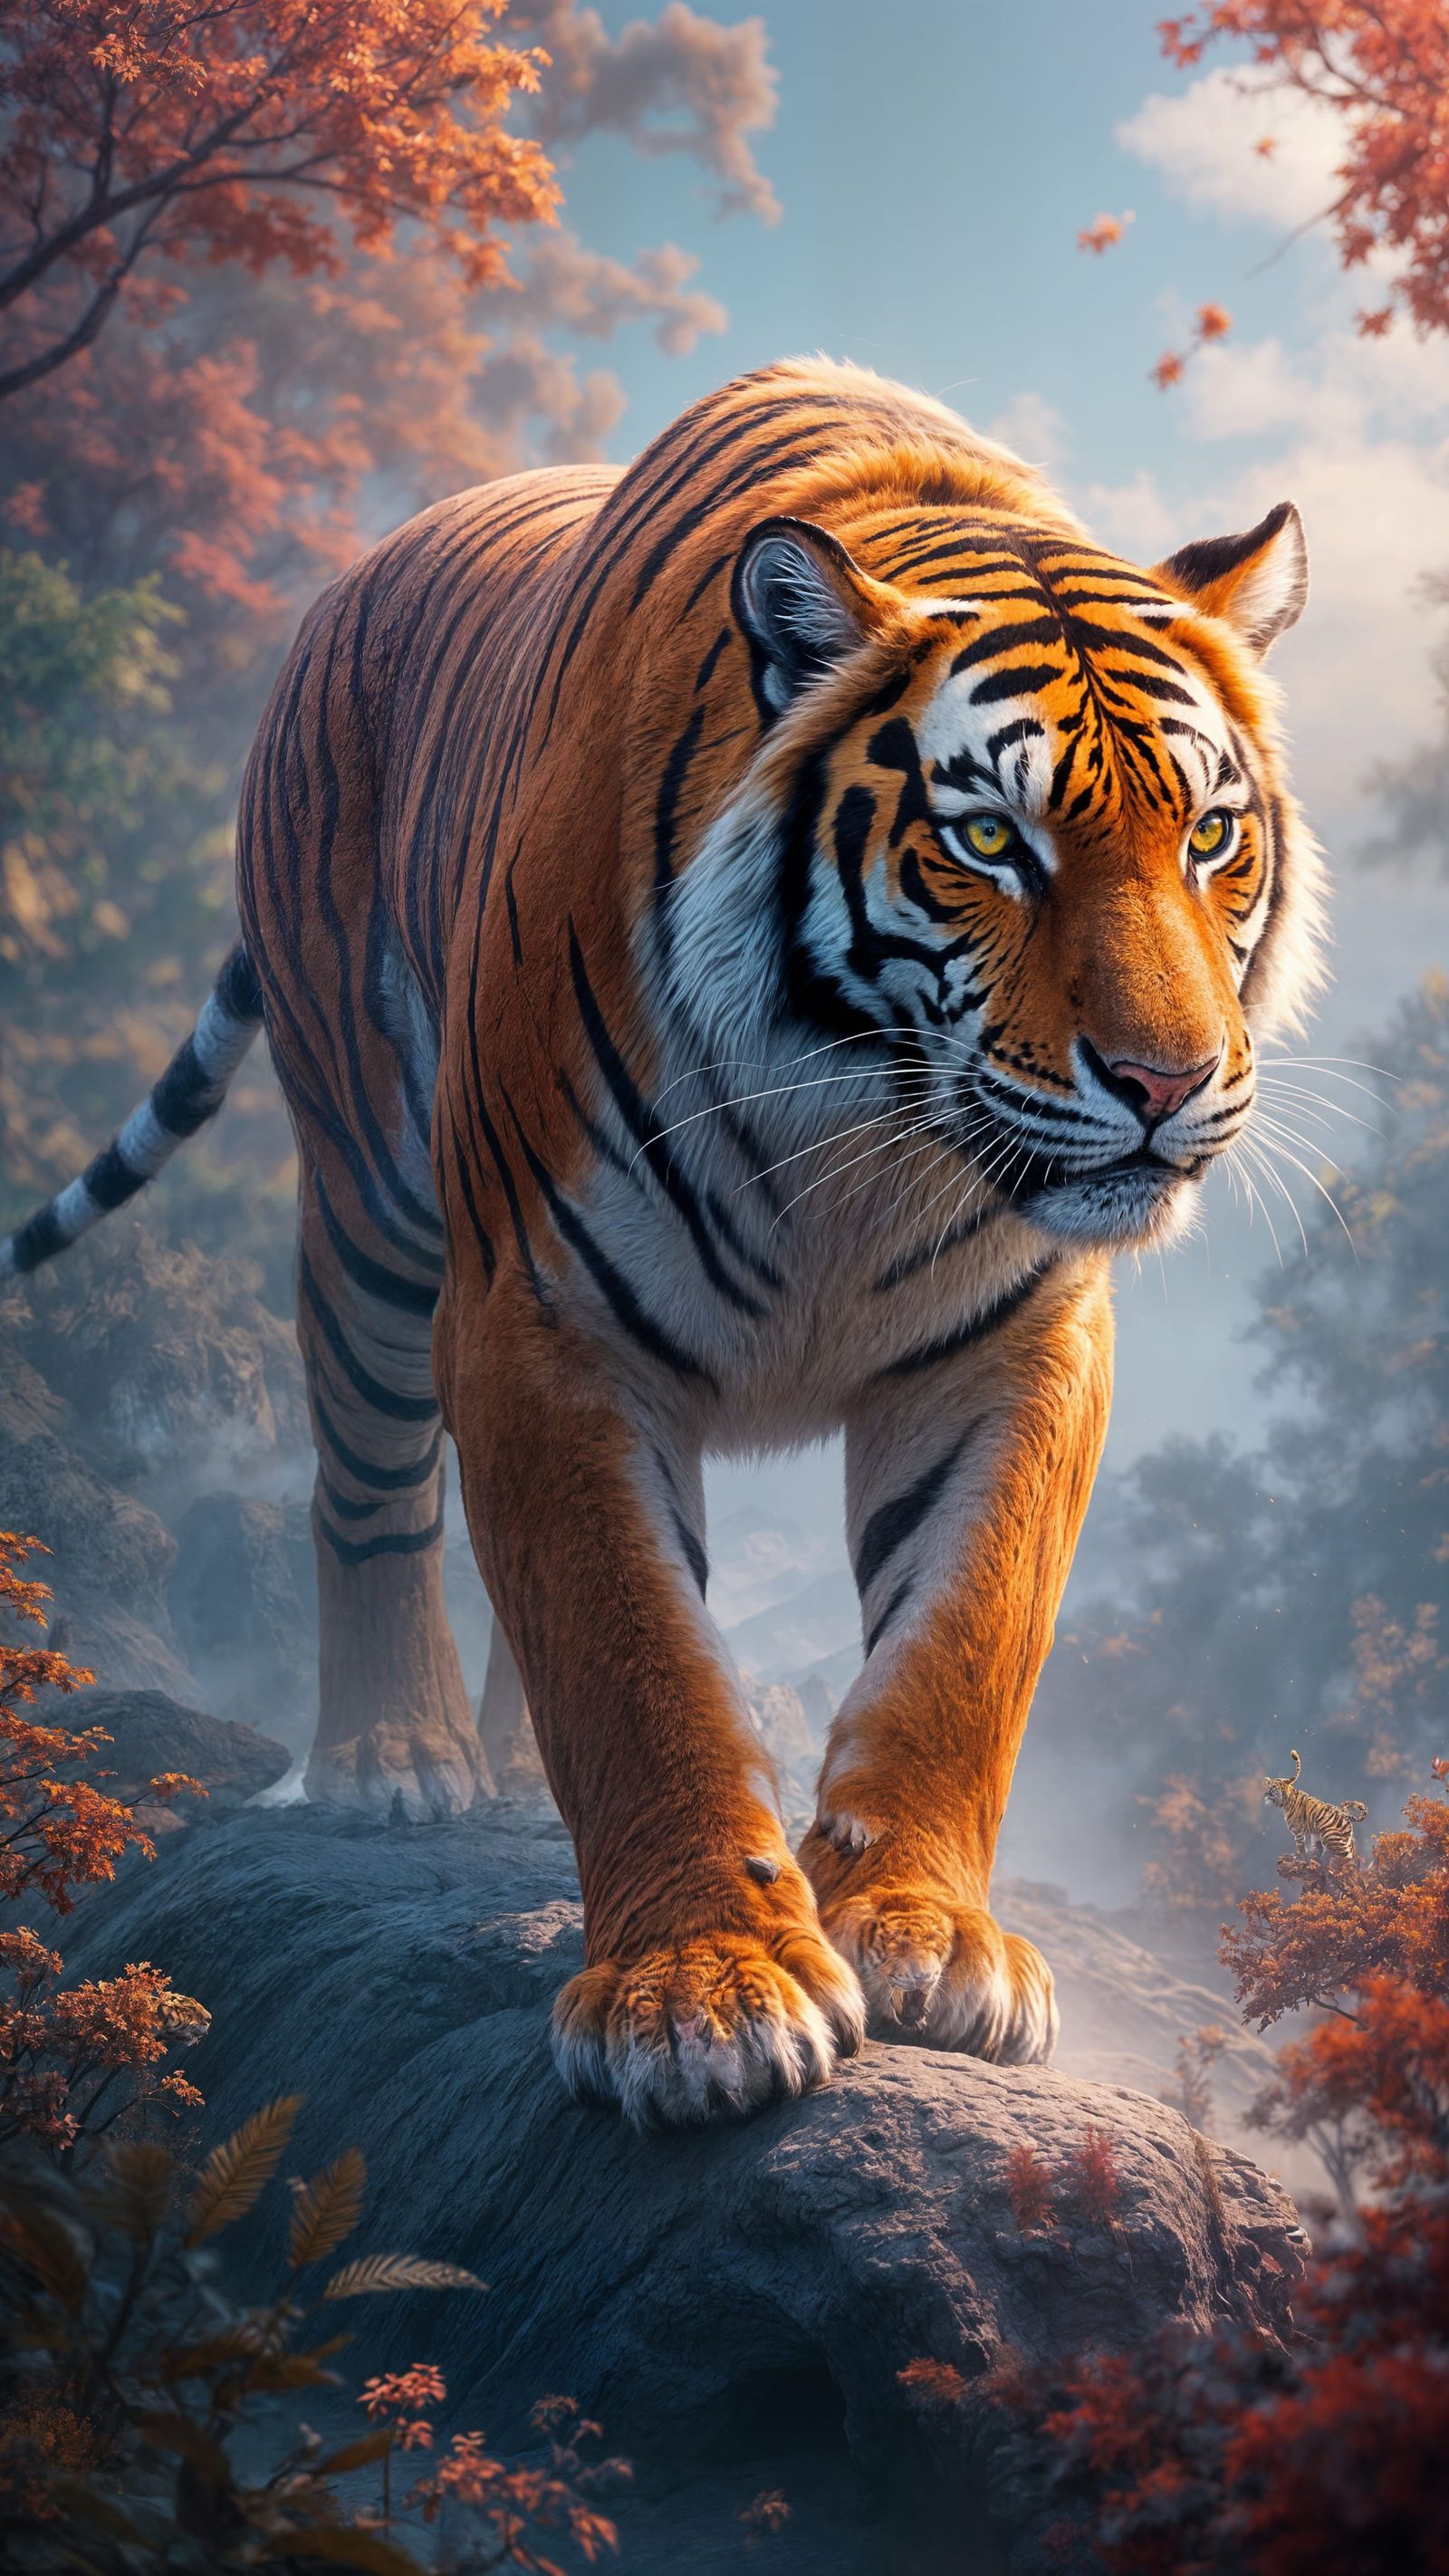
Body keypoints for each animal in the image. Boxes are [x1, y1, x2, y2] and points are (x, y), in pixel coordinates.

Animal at [1, 357, 1323, 2129]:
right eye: (993, 843)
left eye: (1209, 838)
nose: (1167, 1083)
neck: (869, 1125)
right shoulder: (537, 1313)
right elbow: (634, 1657)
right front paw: (699, 1994)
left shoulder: (1015, 1338)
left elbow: (958, 1642)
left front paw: (931, 1940)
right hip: (368, 1202)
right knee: (369, 1488)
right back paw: (392, 1761)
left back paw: (501, 1783)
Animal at [1264, 1752, 1367, 1871]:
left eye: (1270, 1789)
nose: (1265, 1795)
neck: (1286, 1800)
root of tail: (1344, 1815)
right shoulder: (1314, 1836)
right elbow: (1315, 1852)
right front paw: (1311, 1863)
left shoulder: (1298, 1832)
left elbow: (1300, 1849)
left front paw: (1299, 1860)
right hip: (1343, 1839)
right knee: (1352, 1855)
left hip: (1331, 1838)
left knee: (1346, 1856)